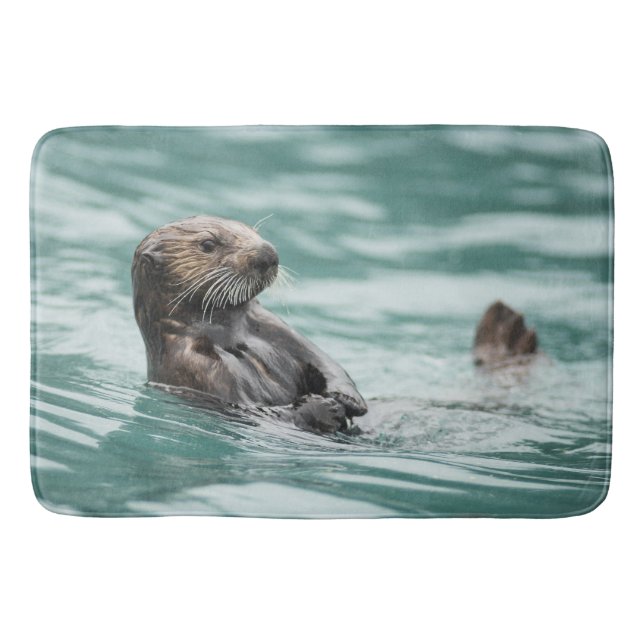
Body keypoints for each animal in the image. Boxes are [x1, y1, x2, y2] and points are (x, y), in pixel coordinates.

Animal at [132, 215, 538, 434]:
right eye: (207, 244)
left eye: (250, 229)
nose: (268, 252)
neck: (232, 337)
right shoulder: (198, 368)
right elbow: (261, 411)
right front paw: (324, 409)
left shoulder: (274, 327)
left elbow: (325, 361)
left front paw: (347, 398)